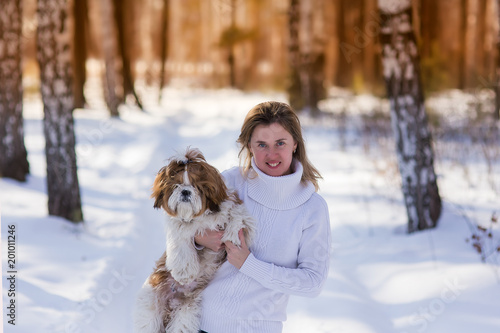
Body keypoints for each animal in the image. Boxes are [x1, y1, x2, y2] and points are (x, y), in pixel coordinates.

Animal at [134, 147, 254, 332]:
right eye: (175, 185)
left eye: (196, 185)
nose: (185, 191)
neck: (199, 217)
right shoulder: (177, 227)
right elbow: (181, 240)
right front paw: (184, 272)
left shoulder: (234, 207)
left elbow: (238, 216)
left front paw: (233, 236)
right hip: (150, 304)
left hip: (186, 312)